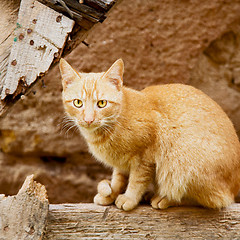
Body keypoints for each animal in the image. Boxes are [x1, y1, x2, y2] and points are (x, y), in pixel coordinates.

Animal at [59, 57, 240, 210]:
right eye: (78, 103)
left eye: (102, 103)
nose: (88, 119)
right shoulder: (121, 163)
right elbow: (118, 178)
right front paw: (111, 194)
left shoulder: (145, 157)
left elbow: (137, 181)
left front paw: (129, 198)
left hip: (183, 164)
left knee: (212, 200)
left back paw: (164, 198)